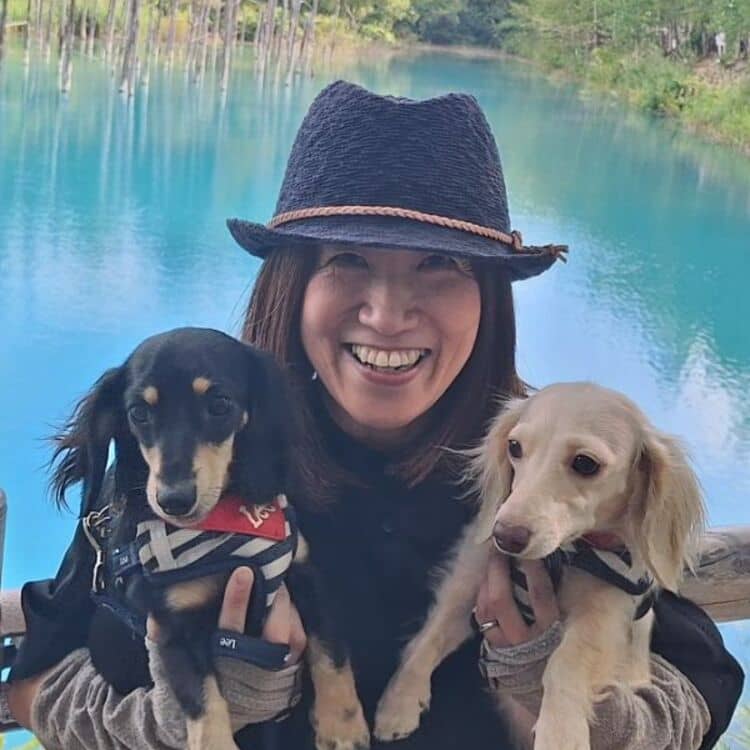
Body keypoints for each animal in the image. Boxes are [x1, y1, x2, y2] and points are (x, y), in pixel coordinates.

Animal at [49, 327, 371, 750]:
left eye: (219, 404)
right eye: (138, 413)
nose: (174, 500)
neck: (222, 526)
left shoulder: (304, 573)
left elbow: (331, 653)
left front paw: (343, 728)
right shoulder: (173, 627)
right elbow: (205, 700)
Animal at [373, 382, 705, 750]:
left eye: (585, 463)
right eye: (514, 447)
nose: (505, 536)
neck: (563, 554)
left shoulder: (604, 616)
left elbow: (566, 662)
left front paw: (561, 733)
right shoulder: (472, 574)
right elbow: (432, 634)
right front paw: (399, 703)